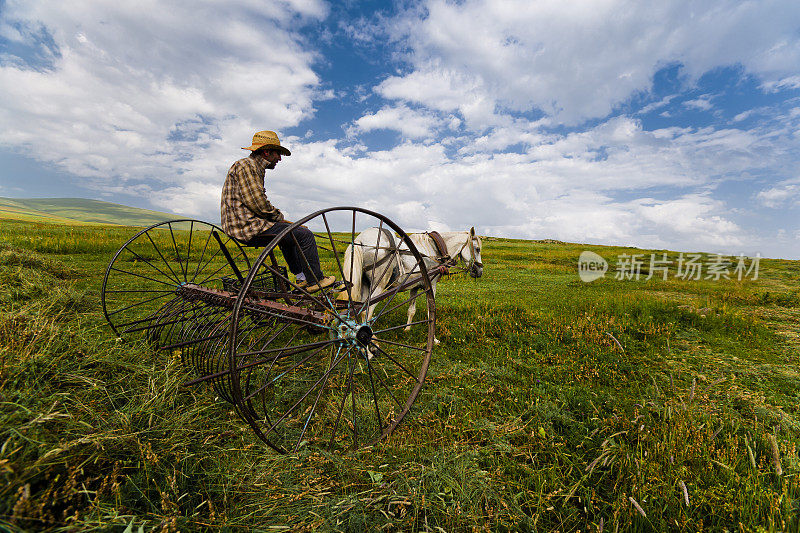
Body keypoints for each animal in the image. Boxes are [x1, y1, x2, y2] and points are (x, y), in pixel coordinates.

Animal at [338, 227, 482, 342]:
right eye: (477, 249)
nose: (479, 271)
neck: (434, 250)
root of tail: (360, 240)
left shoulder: (415, 287)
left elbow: (411, 310)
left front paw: (407, 329)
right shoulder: (432, 285)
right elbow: (431, 310)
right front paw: (434, 339)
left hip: (365, 284)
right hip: (378, 286)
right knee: (367, 310)